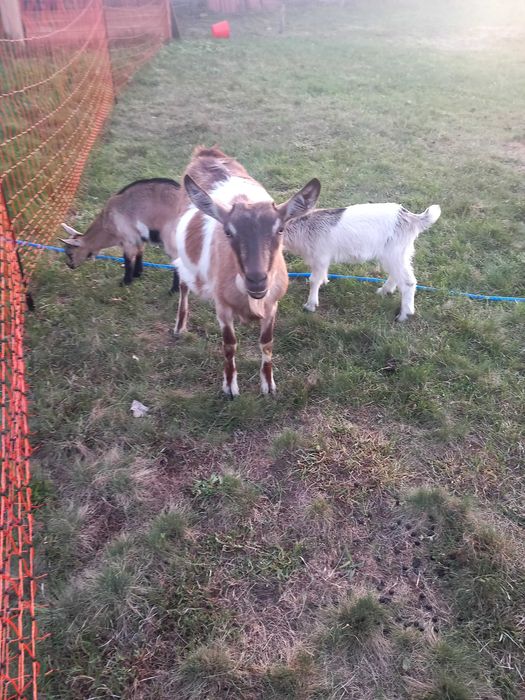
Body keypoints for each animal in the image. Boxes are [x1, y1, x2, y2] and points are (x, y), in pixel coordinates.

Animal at [173, 146, 321, 397]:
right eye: (228, 232)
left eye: (280, 229)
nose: (257, 281)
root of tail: (206, 152)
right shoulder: (222, 306)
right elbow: (229, 344)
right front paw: (230, 387)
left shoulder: (272, 304)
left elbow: (267, 342)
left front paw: (268, 385)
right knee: (183, 282)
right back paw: (180, 327)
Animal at [284, 202, 441, 321]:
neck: (304, 227)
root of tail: (411, 217)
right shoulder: (322, 260)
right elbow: (321, 275)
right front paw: (324, 281)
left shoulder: (320, 257)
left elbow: (314, 280)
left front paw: (310, 305)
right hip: (398, 254)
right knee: (396, 275)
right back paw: (384, 291)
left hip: (394, 253)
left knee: (408, 282)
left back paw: (403, 315)